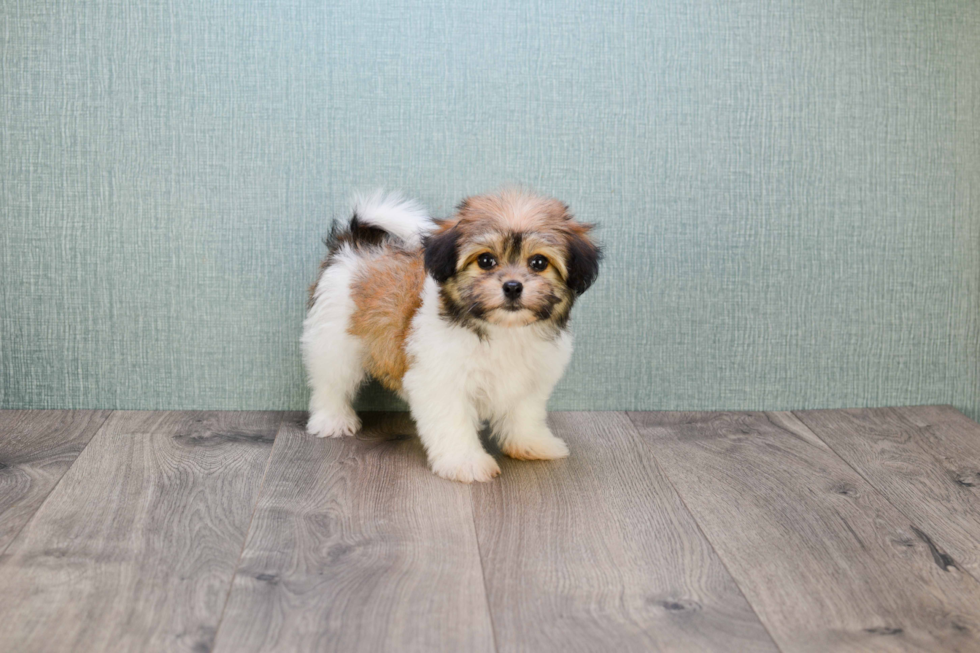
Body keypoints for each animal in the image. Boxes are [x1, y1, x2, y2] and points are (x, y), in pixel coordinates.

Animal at [302, 186, 600, 482]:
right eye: (486, 261)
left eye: (538, 262)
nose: (513, 287)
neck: (503, 329)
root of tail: (356, 244)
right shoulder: (440, 381)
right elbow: (452, 421)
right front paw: (465, 462)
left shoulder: (531, 380)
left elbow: (525, 414)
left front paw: (531, 444)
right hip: (334, 339)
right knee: (331, 382)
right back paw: (332, 420)